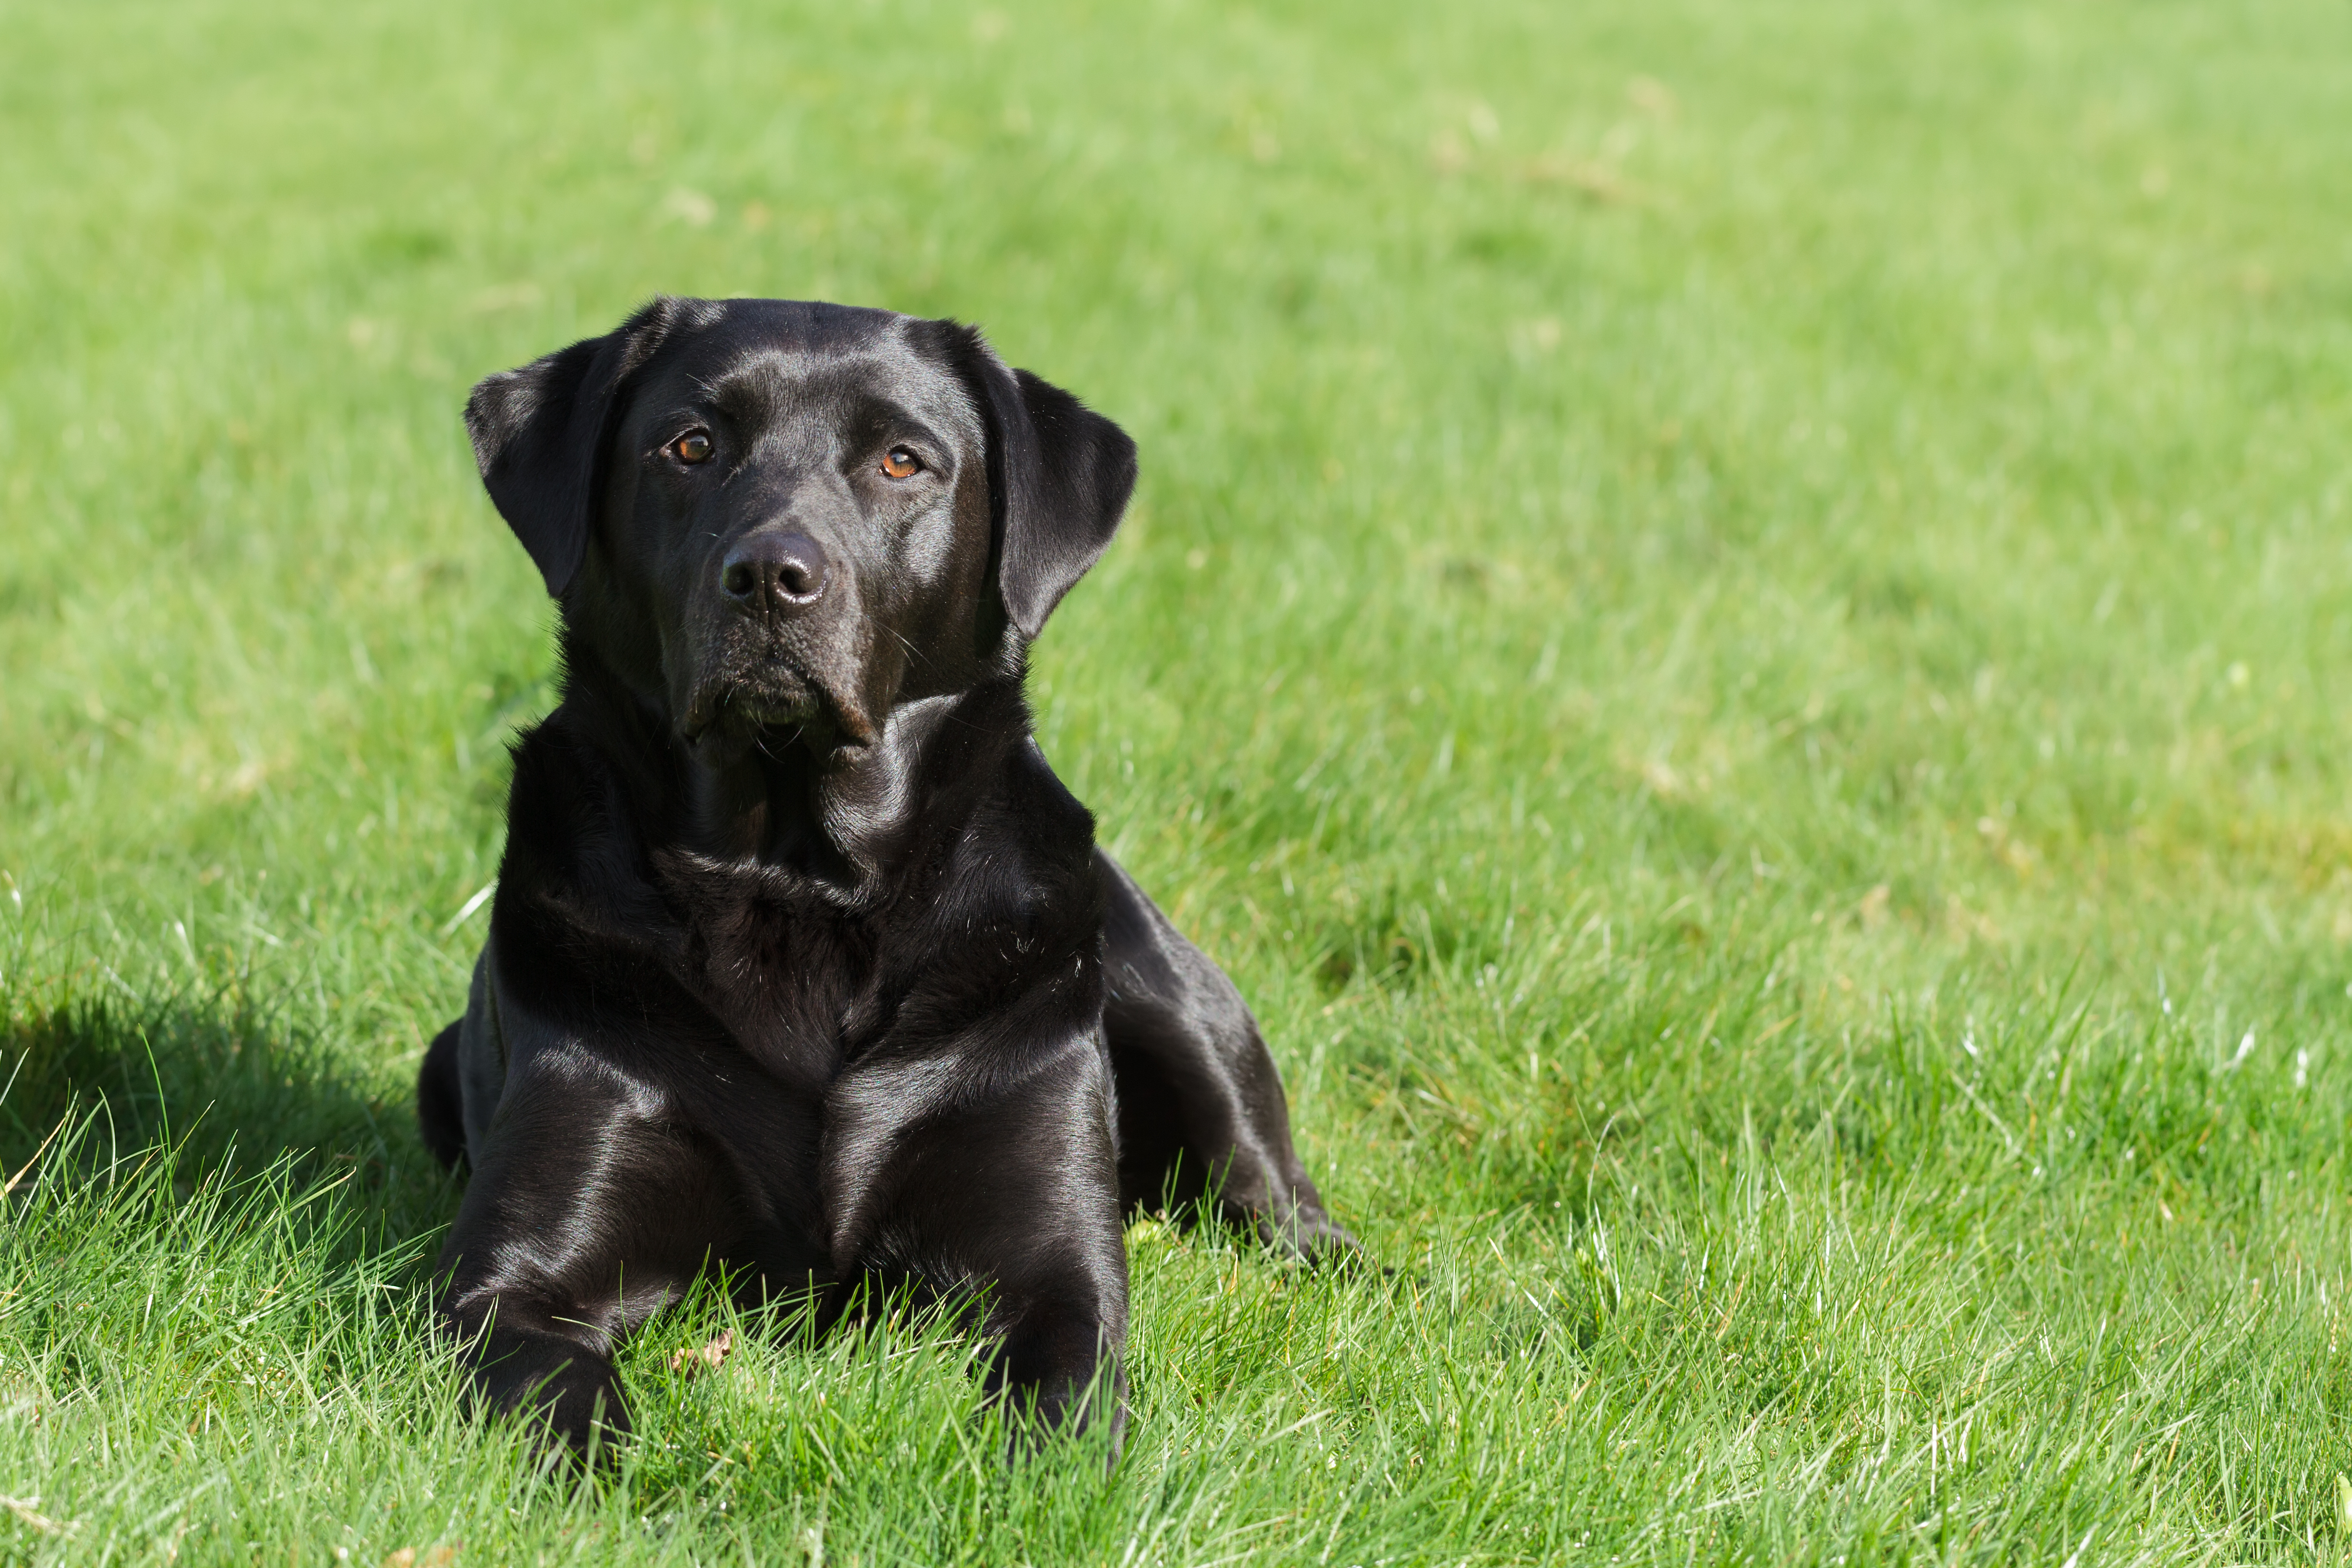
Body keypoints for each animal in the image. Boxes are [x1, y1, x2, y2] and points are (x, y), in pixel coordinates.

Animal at [414, 297, 1355, 1457]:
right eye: (691, 445)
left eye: (903, 460)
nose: (771, 575)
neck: (799, 884)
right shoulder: (510, 1284)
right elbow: (570, 1410)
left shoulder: (1055, 1272)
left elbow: (1059, 1414)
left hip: (1172, 1004)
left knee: (1276, 1197)